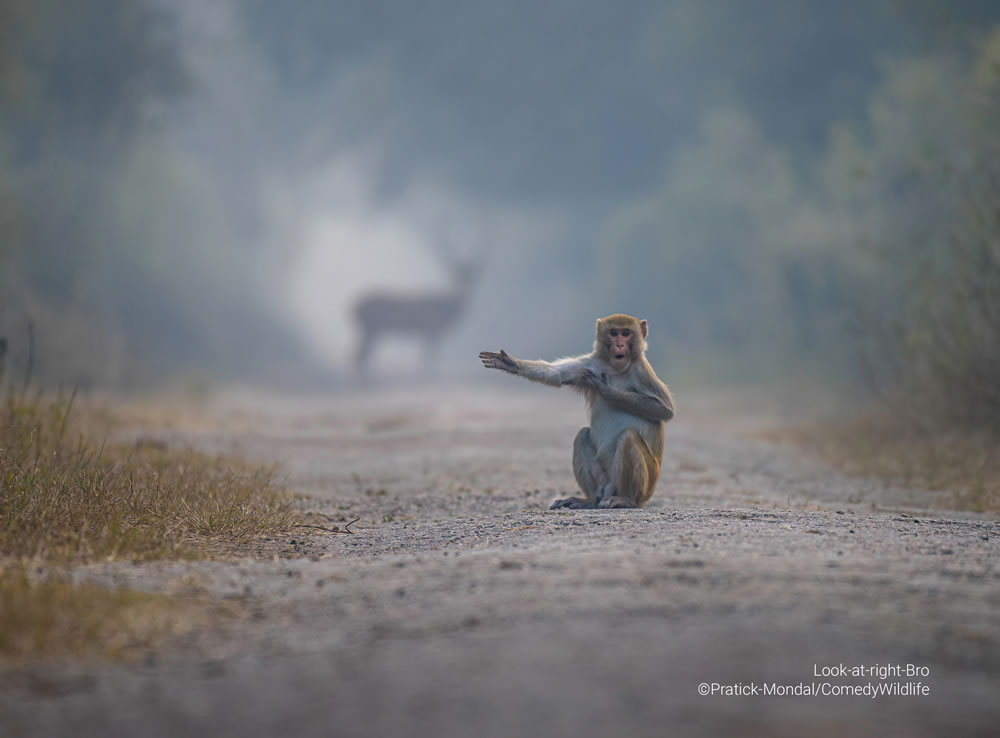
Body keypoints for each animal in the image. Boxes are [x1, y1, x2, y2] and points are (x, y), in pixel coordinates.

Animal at [356, 249, 484, 374]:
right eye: (457, 274)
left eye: (471, 275)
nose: (466, 288)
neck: (447, 309)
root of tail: (353, 307)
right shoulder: (431, 330)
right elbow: (429, 357)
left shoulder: (427, 333)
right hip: (371, 329)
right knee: (360, 355)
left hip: (371, 331)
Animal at [480, 314, 676, 508]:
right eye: (614, 333)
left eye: (626, 333)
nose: (620, 344)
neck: (615, 369)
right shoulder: (589, 364)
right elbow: (556, 374)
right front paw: (509, 363)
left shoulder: (642, 371)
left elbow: (664, 410)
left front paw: (607, 390)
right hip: (605, 481)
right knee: (582, 435)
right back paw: (589, 501)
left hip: (646, 487)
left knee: (628, 437)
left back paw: (625, 500)